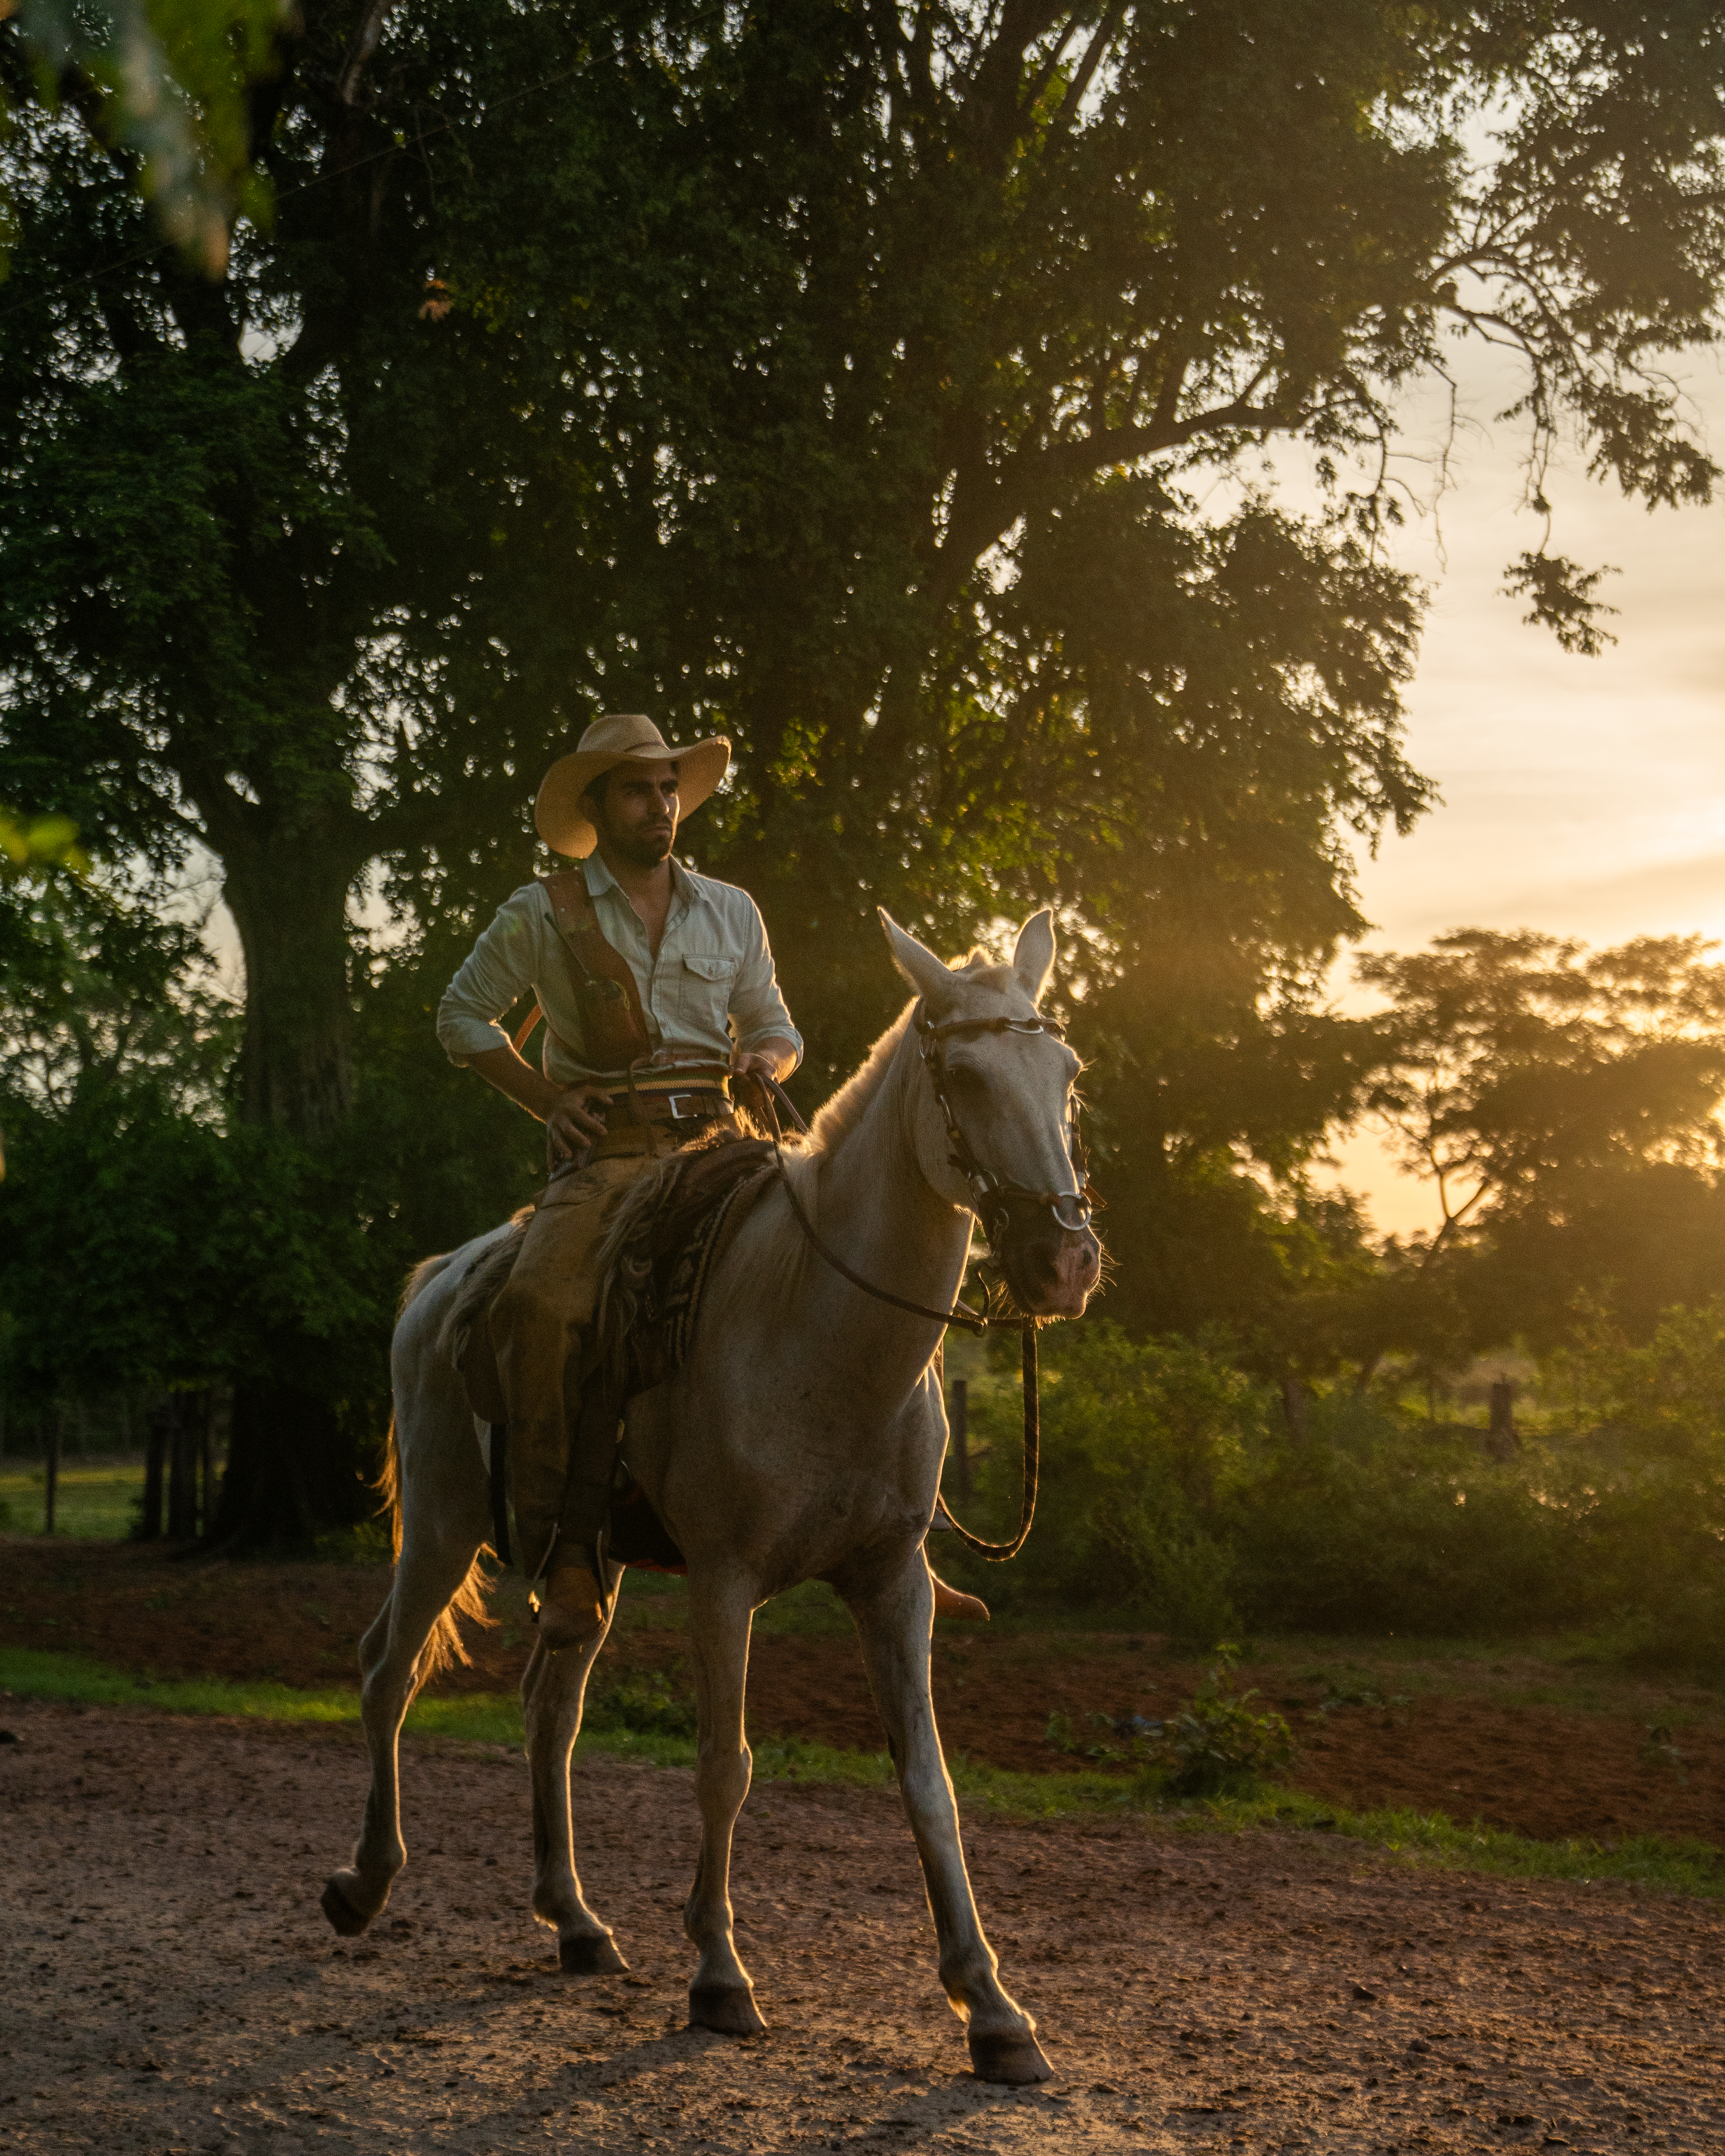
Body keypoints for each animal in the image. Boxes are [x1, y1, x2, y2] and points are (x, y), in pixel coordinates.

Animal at [319, 907, 1103, 2083]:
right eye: (962, 1074)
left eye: (1065, 1074)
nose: (1063, 1257)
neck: (813, 1320)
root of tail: (445, 1277)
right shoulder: (723, 1580)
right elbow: (724, 1765)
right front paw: (720, 1972)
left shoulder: (893, 1582)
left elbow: (930, 1780)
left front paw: (994, 2007)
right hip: (448, 1525)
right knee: (388, 1667)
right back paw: (365, 1881)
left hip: (581, 1555)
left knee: (549, 1706)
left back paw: (576, 1919)